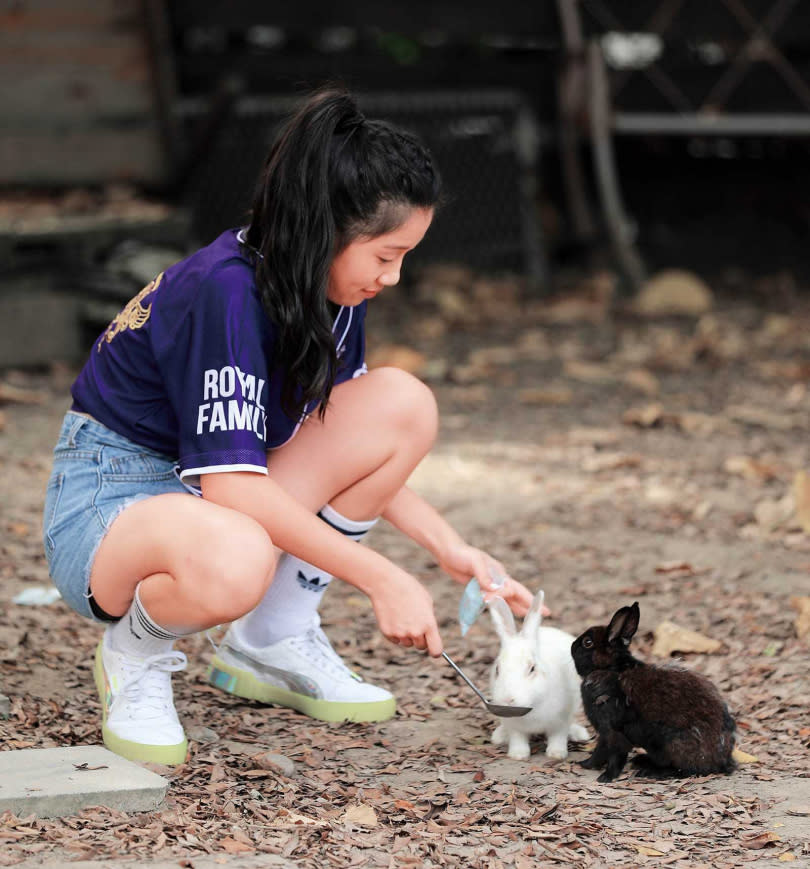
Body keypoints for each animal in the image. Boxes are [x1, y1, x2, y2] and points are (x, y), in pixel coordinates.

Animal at [486, 588, 588, 760]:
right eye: (498, 669)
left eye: (532, 668)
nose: (508, 700)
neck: (533, 704)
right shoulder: (514, 726)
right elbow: (518, 738)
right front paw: (518, 755)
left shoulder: (560, 721)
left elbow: (558, 736)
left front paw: (556, 754)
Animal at [568, 604, 732, 780]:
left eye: (587, 642)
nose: (572, 646)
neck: (609, 668)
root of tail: (721, 761)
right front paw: (585, 765)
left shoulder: (612, 731)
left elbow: (610, 754)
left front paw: (603, 776)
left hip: (671, 744)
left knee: (683, 770)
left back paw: (649, 771)